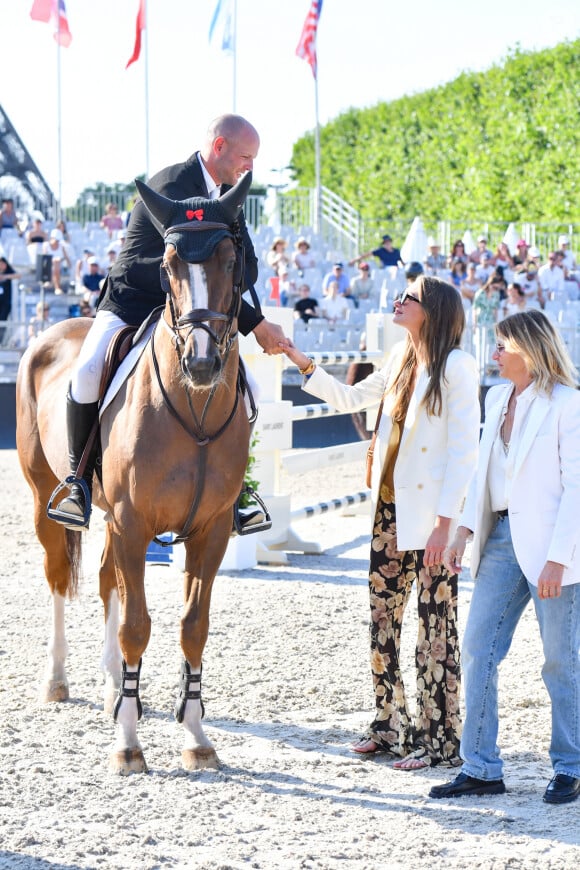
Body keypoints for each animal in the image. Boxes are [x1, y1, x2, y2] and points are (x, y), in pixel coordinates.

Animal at [16, 170, 254, 776]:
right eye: (168, 264)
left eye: (231, 258)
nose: (201, 363)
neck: (193, 411)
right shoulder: (133, 523)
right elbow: (136, 625)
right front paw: (127, 744)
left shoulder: (210, 530)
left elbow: (192, 626)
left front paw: (195, 735)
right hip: (50, 500)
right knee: (61, 578)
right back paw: (58, 681)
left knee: (106, 582)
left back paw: (110, 689)